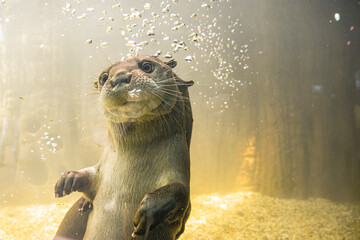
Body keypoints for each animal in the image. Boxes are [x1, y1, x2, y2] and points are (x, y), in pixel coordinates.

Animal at [52, 55, 193, 239]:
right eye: (104, 77)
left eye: (147, 66)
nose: (119, 78)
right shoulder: (101, 172)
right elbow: (90, 177)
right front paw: (69, 178)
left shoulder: (178, 169)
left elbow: (180, 191)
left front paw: (147, 211)